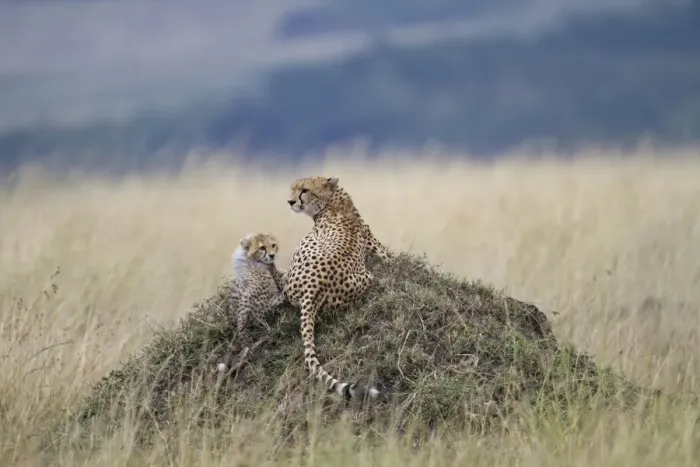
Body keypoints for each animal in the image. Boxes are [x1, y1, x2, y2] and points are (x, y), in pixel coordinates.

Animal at [284, 175, 391, 402]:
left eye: (304, 190)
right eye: (292, 189)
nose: (290, 202)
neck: (332, 200)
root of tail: (313, 284)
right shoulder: (380, 251)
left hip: (306, 245)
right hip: (367, 277)